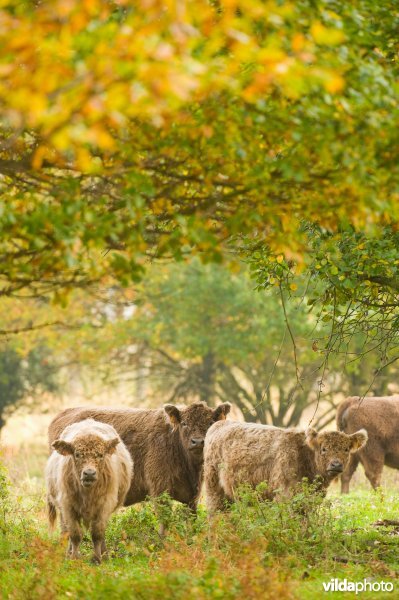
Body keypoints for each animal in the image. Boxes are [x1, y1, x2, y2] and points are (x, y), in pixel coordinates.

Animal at [45, 418, 133, 564]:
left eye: (100, 455)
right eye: (77, 454)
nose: (89, 473)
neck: (87, 494)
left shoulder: (104, 505)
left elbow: (97, 533)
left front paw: (97, 558)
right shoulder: (68, 505)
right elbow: (75, 534)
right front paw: (74, 558)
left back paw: (104, 554)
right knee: (66, 530)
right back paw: (68, 553)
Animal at [206, 420, 368, 512]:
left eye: (346, 449)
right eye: (324, 449)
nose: (336, 464)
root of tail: (219, 424)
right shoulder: (285, 494)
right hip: (213, 486)